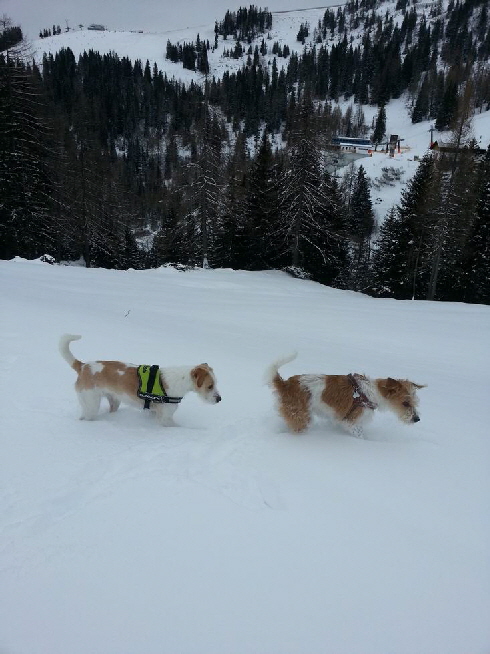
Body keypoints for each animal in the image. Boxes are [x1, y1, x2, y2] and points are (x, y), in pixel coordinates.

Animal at [59, 336, 222, 428]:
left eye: (216, 383)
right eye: (210, 386)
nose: (219, 399)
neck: (179, 380)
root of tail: (83, 366)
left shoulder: (154, 413)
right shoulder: (166, 419)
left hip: (113, 401)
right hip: (91, 404)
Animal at [264, 354, 424, 440]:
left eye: (415, 402)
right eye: (405, 403)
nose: (417, 419)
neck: (370, 393)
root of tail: (285, 384)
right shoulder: (350, 422)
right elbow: (361, 435)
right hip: (301, 416)